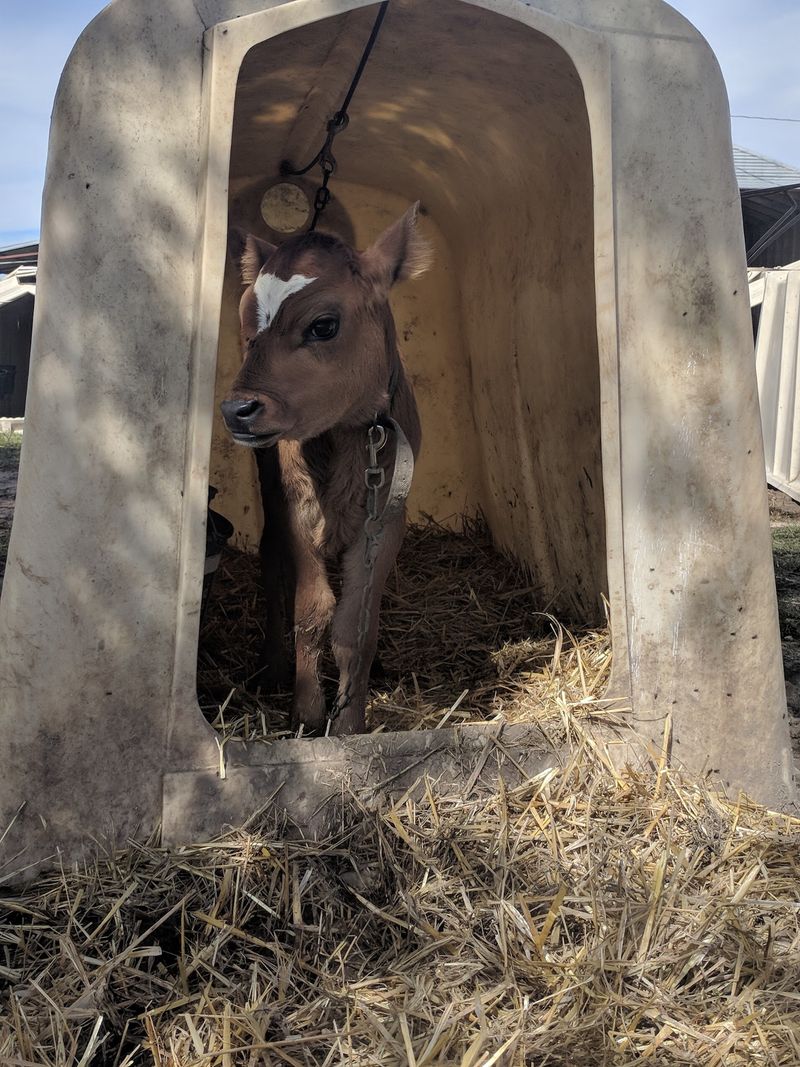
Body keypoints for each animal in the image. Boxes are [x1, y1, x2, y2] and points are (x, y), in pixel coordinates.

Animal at [221, 204, 430, 736]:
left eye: (323, 326)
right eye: (248, 330)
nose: (236, 409)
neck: (345, 439)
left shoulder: (388, 515)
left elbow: (357, 622)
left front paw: (350, 719)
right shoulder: (299, 506)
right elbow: (313, 610)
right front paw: (308, 711)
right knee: (271, 560)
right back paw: (274, 664)